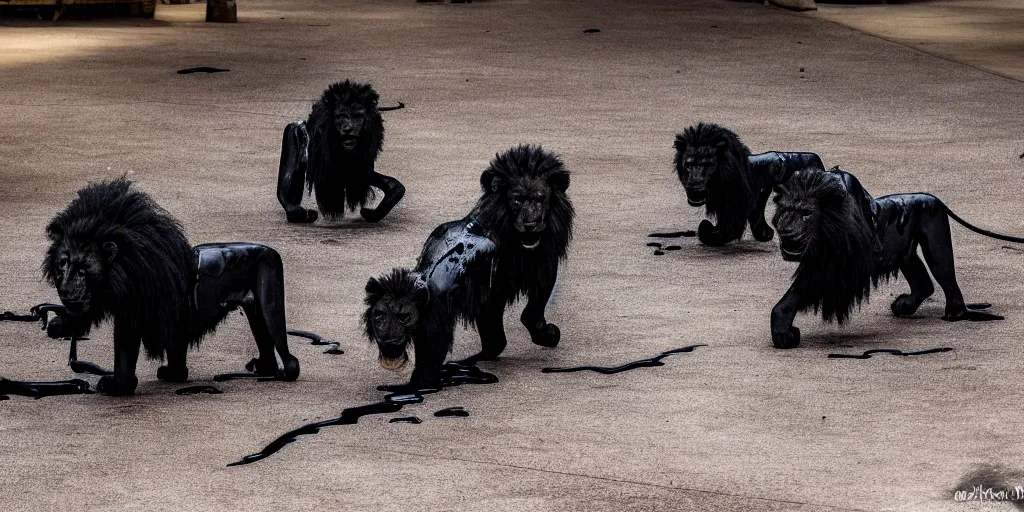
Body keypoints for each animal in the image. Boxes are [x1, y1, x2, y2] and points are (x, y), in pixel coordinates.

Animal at [45, 178, 299, 393]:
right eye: (62, 264)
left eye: (83, 269)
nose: (65, 289)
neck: (118, 273)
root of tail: (271, 251)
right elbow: (176, 351)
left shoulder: (133, 310)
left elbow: (125, 351)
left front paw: (117, 386)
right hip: (254, 309)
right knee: (265, 340)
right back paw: (262, 369)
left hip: (269, 295)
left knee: (284, 348)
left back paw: (282, 372)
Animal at [282, 79, 409, 222]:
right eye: (340, 117)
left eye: (357, 116)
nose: (348, 129)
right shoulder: (296, 133)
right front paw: (300, 212)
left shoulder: (360, 163)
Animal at [362, 145, 573, 391]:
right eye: (379, 315)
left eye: (403, 317)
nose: (531, 222)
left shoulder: (435, 326)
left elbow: (427, 371)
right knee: (496, 340)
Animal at [675, 121, 827, 245]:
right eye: (689, 164)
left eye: (707, 165)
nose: (694, 183)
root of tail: (818, 161)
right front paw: (765, 234)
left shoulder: (743, 198)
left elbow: (728, 227)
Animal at [770, 167, 1015, 348]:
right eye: (786, 210)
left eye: (806, 213)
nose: (785, 231)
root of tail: (933, 198)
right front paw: (783, 331)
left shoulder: (836, 264)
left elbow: (797, 292)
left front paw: (783, 332)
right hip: (905, 252)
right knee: (924, 282)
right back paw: (906, 305)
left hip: (935, 236)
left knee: (945, 274)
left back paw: (956, 314)